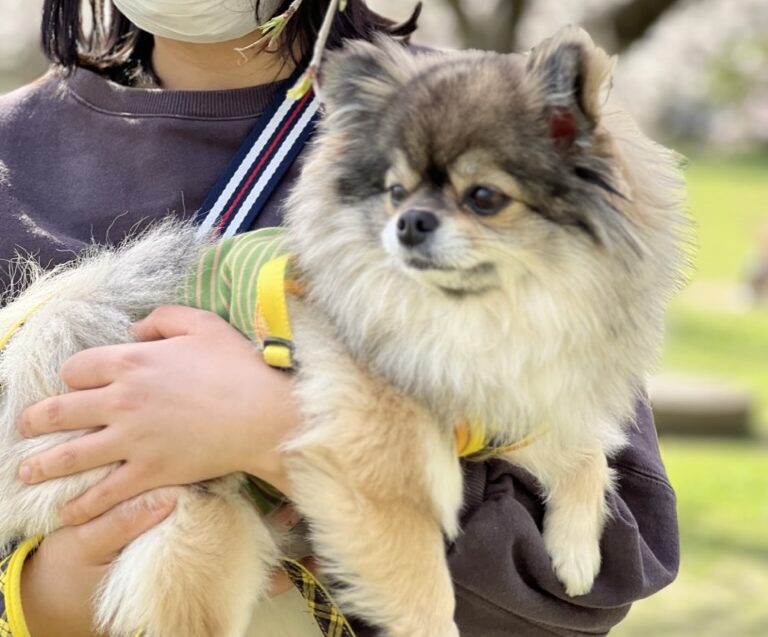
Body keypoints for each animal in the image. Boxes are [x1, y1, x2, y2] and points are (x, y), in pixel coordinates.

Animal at [0, 26, 684, 636]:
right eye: (395, 191)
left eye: (485, 198)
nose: (409, 223)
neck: (489, 316)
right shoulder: (376, 457)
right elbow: (421, 584)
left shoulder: (505, 410)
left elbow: (586, 453)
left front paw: (576, 552)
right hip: (192, 524)